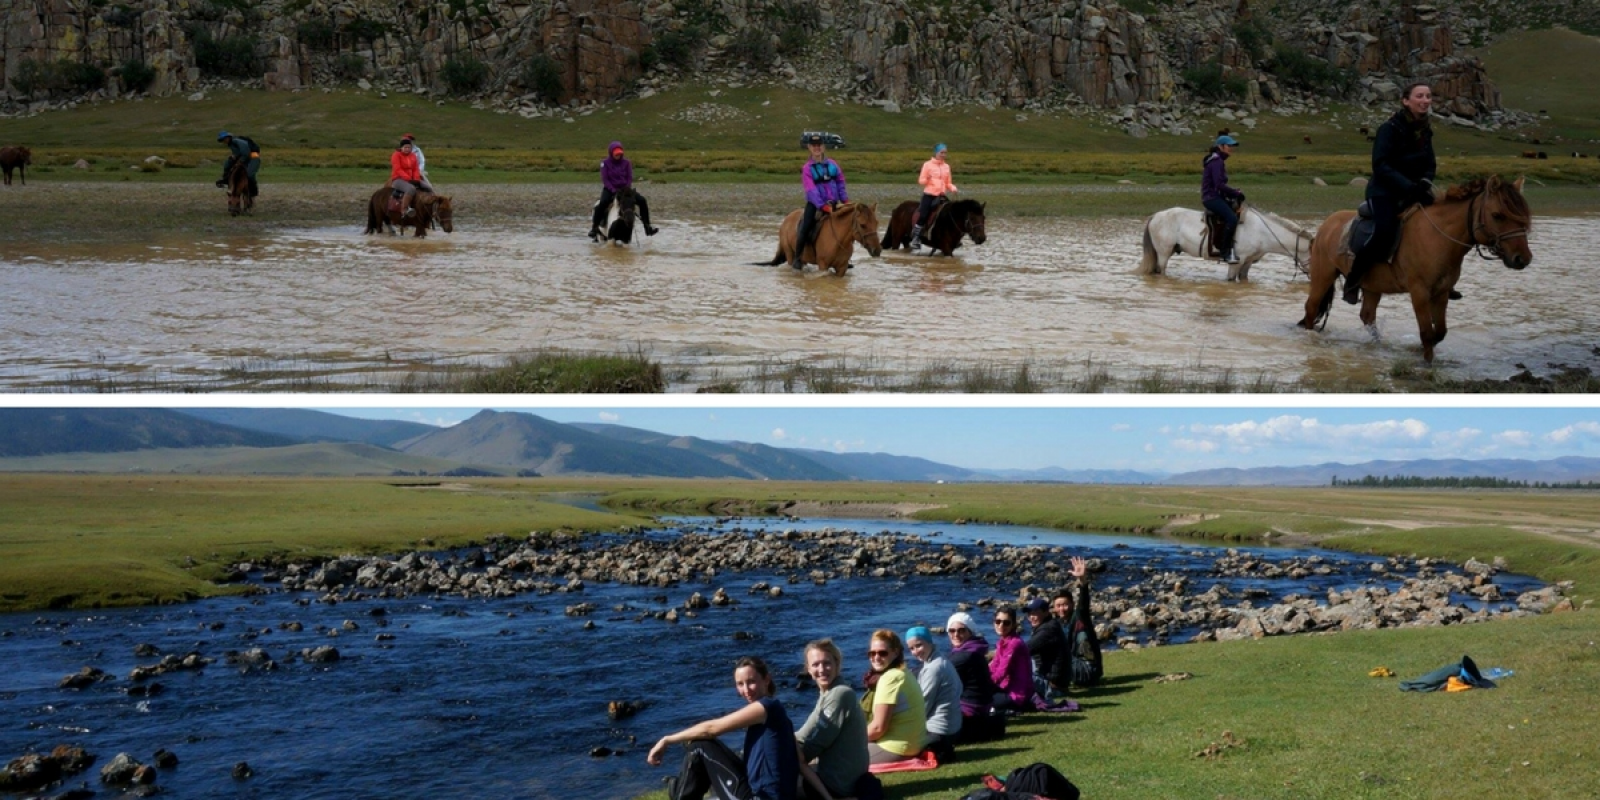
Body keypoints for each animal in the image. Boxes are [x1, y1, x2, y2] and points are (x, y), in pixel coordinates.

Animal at [1138, 204, 1316, 281]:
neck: (1262, 232)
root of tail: (1155, 216)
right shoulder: (1237, 261)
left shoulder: (1247, 263)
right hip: (1163, 253)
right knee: (1161, 271)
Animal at [1297, 175, 1532, 364]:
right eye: (1497, 215)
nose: (1522, 258)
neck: (1438, 238)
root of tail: (1326, 225)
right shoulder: (1419, 293)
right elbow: (1427, 332)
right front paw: (1427, 363)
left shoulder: (1441, 293)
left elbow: (1440, 332)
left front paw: (1420, 352)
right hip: (1323, 275)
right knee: (1311, 308)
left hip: (1373, 286)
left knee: (1367, 316)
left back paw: (1377, 346)